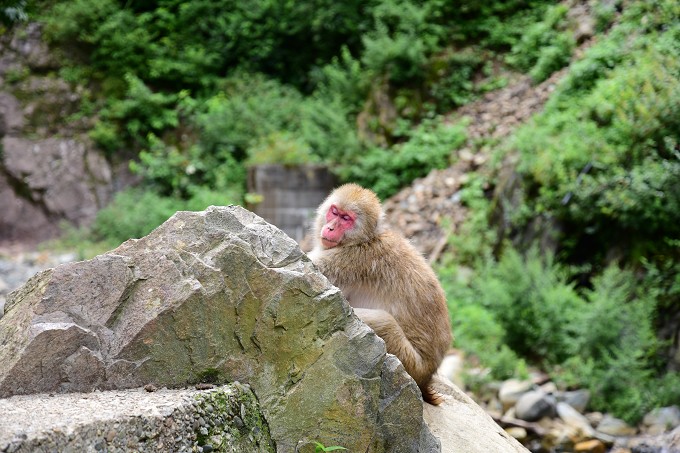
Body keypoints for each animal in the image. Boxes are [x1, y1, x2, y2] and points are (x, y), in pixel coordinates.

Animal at [308, 183, 452, 402]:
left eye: (346, 218)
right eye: (334, 211)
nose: (330, 227)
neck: (364, 239)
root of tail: (427, 376)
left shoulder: (351, 260)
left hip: (408, 362)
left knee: (380, 322)